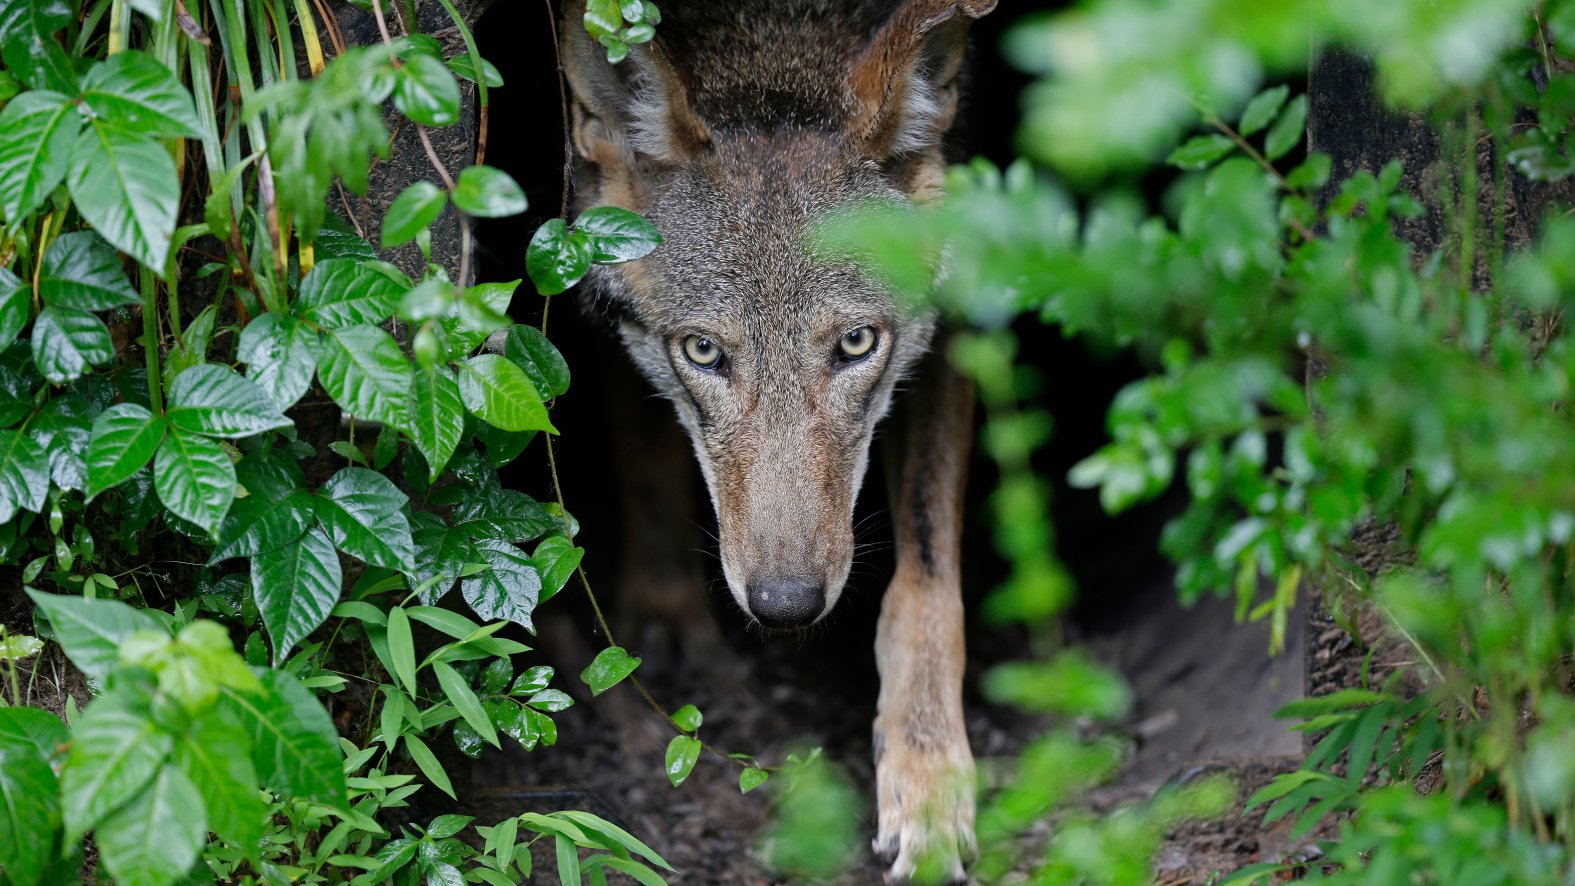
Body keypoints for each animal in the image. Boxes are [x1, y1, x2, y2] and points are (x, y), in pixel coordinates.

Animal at [560, 0, 994, 879]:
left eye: (856, 344)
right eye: (703, 352)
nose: (785, 606)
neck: (772, 37)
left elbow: (924, 584)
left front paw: (927, 780)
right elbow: (644, 455)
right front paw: (663, 613)